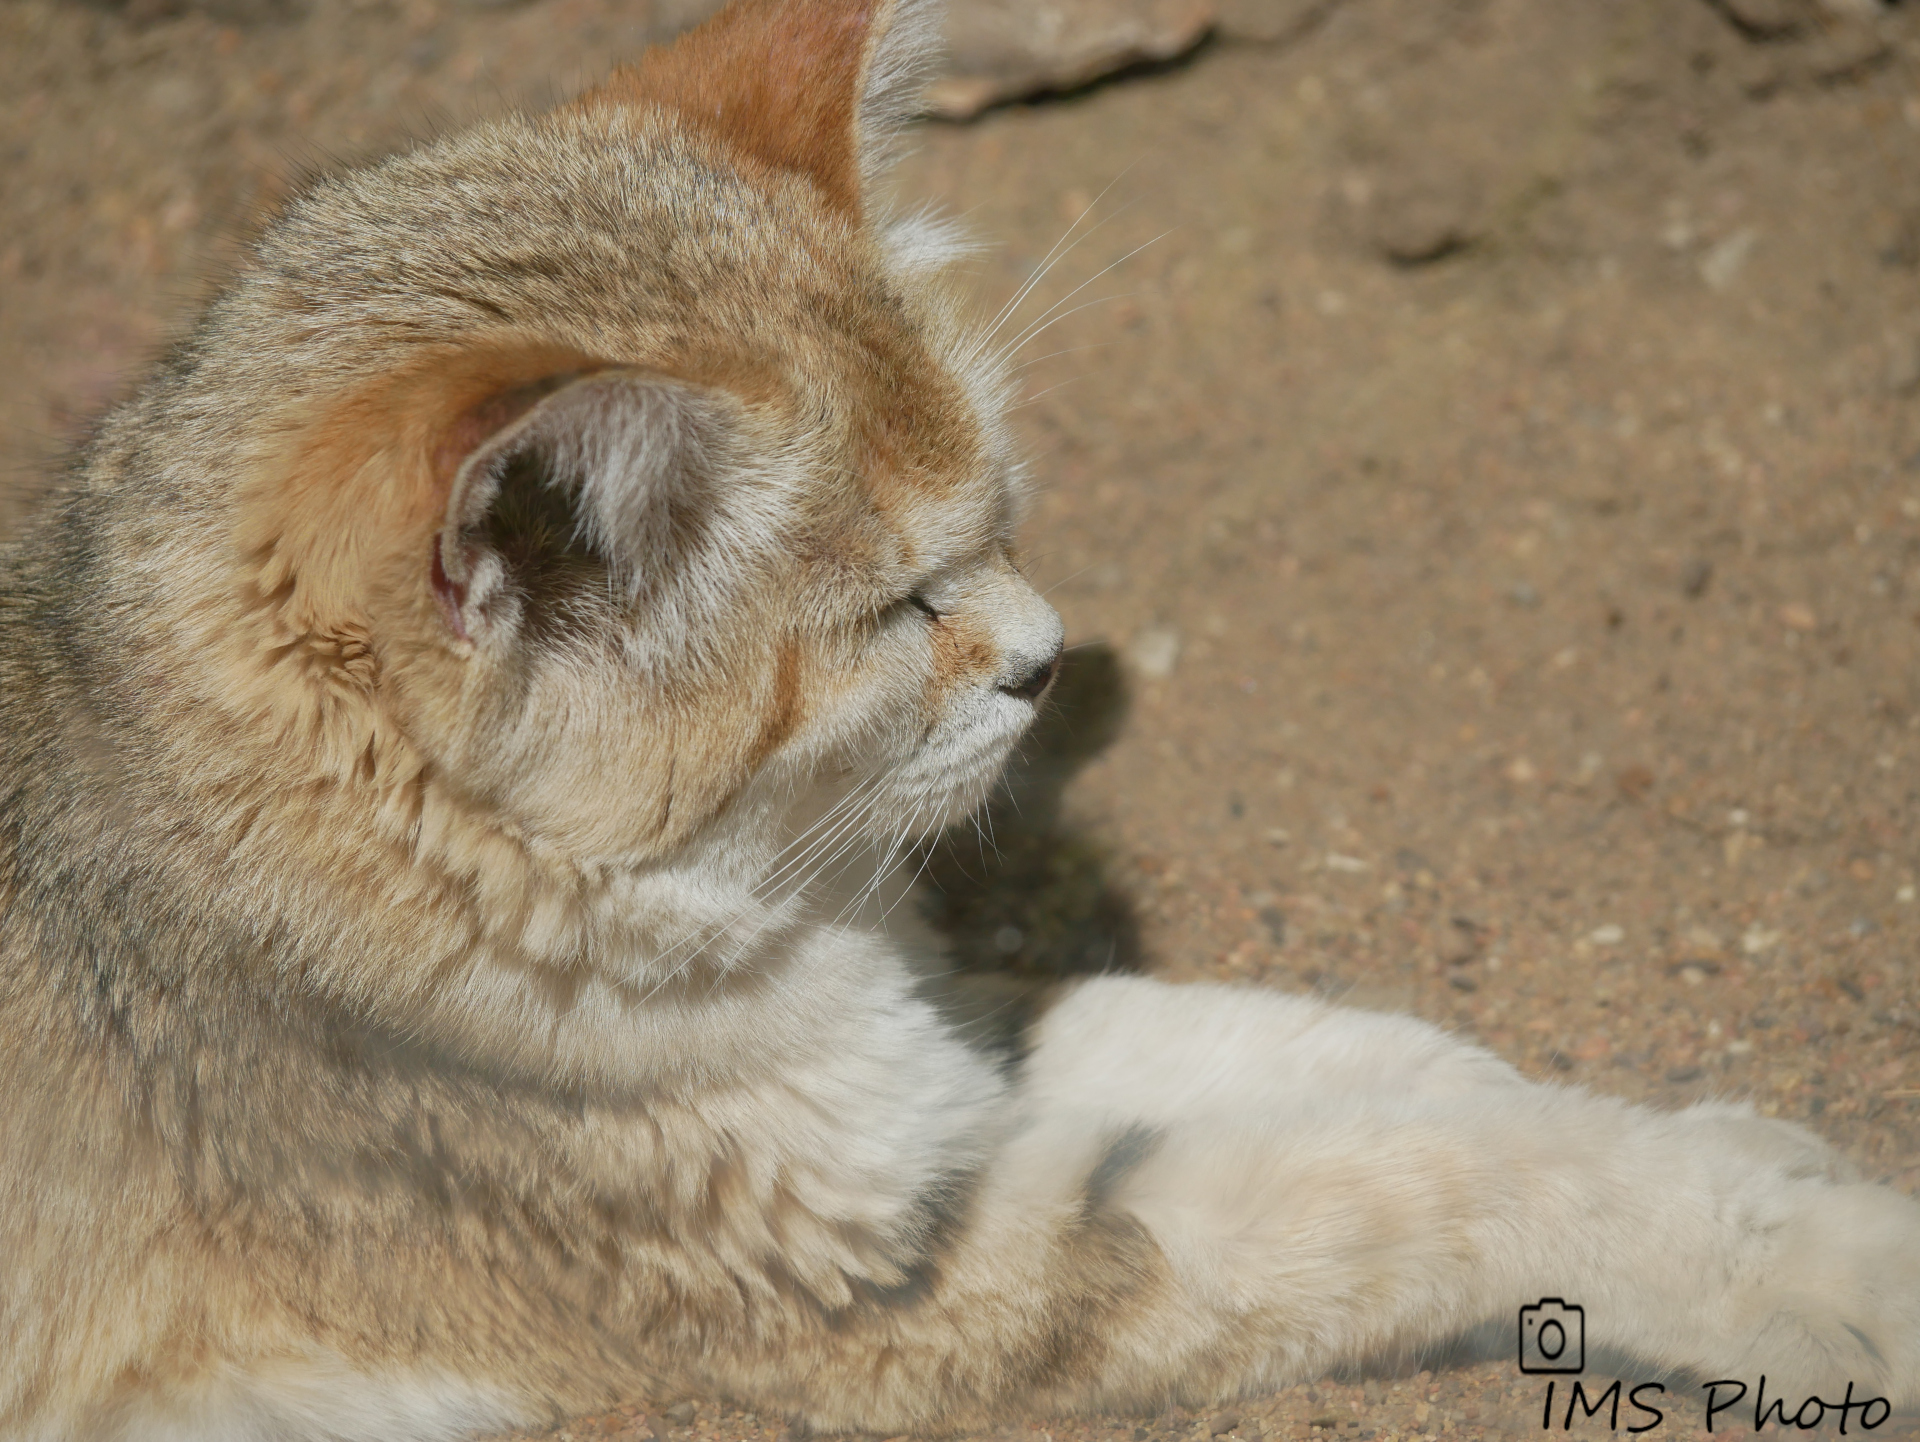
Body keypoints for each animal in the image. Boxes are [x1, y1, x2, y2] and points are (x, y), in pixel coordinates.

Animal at [3, 2, 1920, 1442]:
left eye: (1002, 513)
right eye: (897, 610)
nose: (1054, 657)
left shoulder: (933, 1079)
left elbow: (1325, 1050)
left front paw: (1688, 1144)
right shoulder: (905, 1287)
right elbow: (1416, 1184)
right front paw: (1805, 1268)